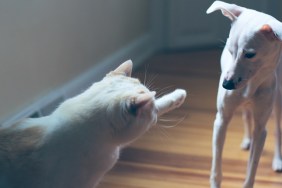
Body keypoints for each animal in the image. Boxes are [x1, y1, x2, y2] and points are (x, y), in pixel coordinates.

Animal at [206, 0, 282, 187]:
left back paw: (277, 160)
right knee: (246, 114)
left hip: (278, 99)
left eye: (250, 54)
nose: (226, 85)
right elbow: (216, 168)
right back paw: (247, 140)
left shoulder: (261, 130)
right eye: (228, 50)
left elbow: (251, 169)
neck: (251, 85)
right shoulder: (221, 121)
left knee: (277, 129)